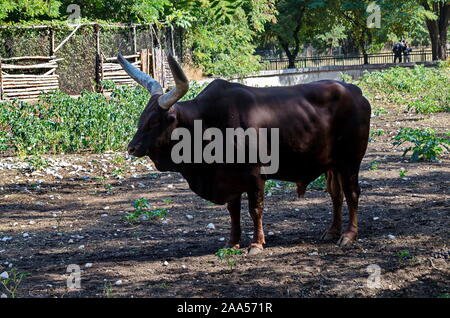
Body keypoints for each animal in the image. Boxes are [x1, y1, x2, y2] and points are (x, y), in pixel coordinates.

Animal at [118, 53, 370, 255]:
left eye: (155, 121)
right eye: (142, 117)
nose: (132, 148)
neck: (207, 123)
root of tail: (355, 91)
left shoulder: (255, 175)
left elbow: (255, 209)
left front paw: (257, 244)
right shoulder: (229, 177)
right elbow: (233, 211)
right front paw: (232, 242)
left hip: (350, 161)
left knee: (352, 194)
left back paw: (348, 235)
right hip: (332, 164)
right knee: (336, 195)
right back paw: (332, 231)